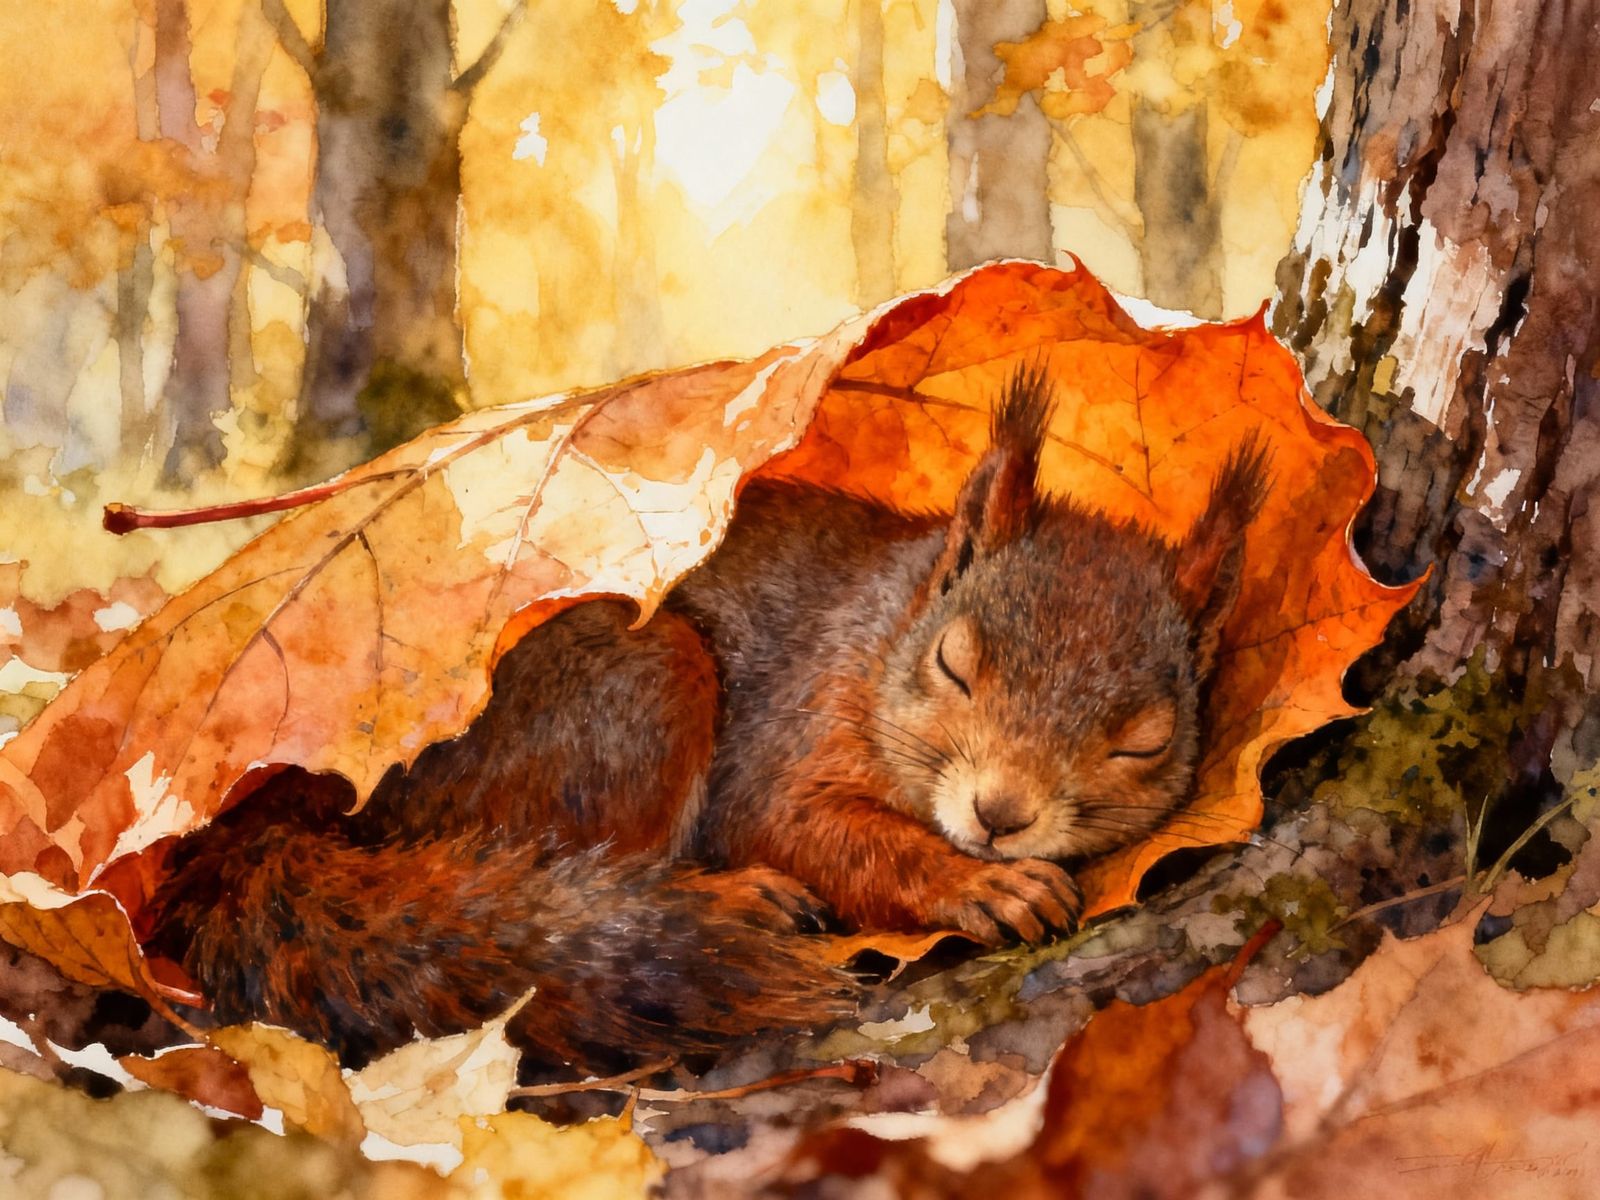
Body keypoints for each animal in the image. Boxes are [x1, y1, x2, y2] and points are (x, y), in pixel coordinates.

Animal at [146, 366, 1270, 1073]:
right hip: (639, 689)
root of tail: (322, 801)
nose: (1000, 815)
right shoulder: (793, 722)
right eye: (955, 664)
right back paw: (731, 902)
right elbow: (792, 824)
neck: (886, 630)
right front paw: (977, 884)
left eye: (1143, 743)